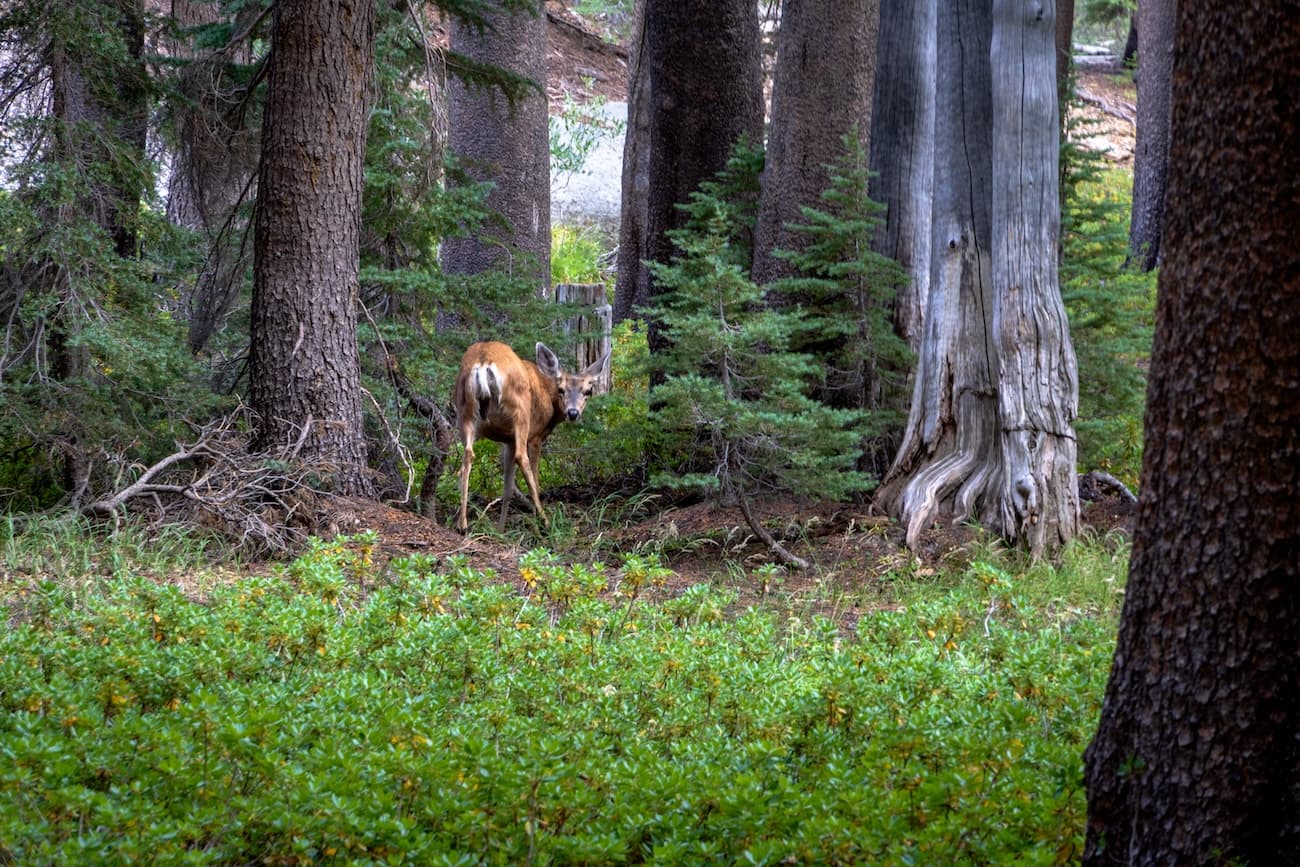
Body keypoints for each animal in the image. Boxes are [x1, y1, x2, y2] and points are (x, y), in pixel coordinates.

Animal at [453, 341, 607, 532]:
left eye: (588, 391)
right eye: (561, 389)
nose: (573, 413)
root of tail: (483, 362)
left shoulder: (508, 440)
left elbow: (507, 487)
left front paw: (500, 529)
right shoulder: (536, 436)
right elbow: (534, 476)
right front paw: (534, 518)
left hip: (464, 412)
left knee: (466, 456)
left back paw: (462, 524)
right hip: (520, 412)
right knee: (522, 458)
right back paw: (545, 521)